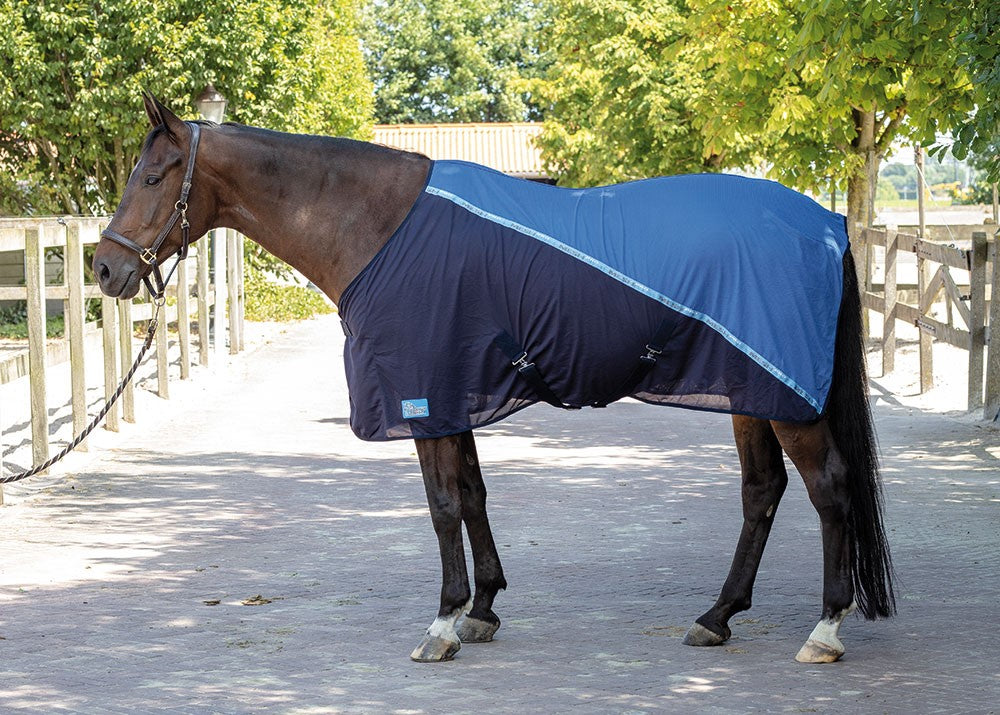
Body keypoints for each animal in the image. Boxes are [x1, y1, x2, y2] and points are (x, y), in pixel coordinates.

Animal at [93, 93, 894, 665]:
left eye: (155, 175)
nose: (105, 268)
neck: (378, 226)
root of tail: (824, 223)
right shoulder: (455, 396)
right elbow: (474, 496)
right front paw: (482, 610)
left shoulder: (421, 396)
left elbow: (443, 504)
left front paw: (443, 621)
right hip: (750, 391)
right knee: (763, 492)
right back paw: (716, 617)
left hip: (788, 398)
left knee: (829, 488)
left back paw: (824, 630)